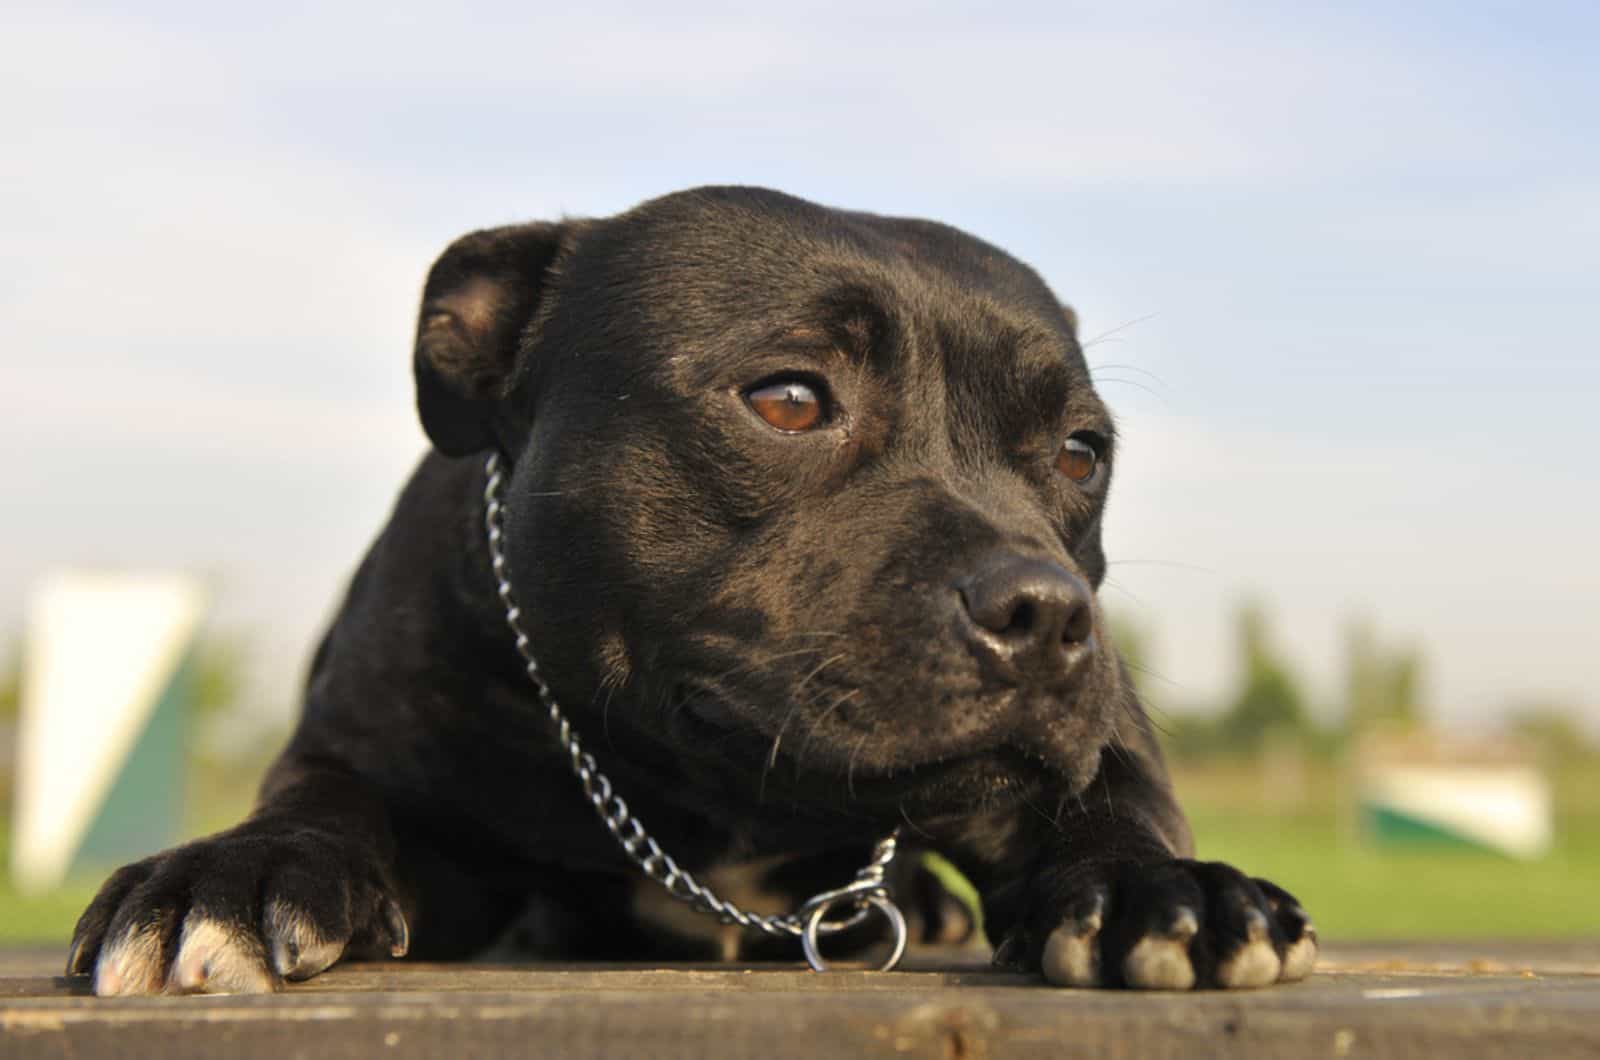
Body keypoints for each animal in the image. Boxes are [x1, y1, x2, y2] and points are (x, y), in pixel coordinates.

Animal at [65, 188, 1312, 999]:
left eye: (1079, 452)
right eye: (790, 399)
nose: (1047, 612)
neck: (716, 802)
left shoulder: (1097, 753)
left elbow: (1112, 806)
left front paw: (1163, 886)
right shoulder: (372, 746)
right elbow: (322, 806)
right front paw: (226, 873)